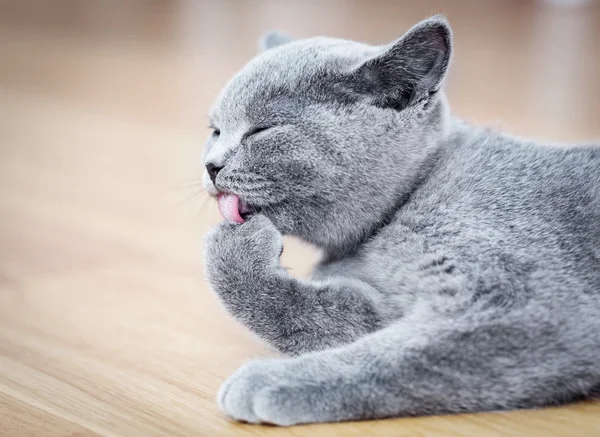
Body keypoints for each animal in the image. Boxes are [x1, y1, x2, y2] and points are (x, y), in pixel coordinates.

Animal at [203, 15, 600, 424]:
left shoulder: (528, 304)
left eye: (263, 130)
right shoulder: (382, 307)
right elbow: (315, 318)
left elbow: (399, 355)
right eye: (215, 131)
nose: (211, 166)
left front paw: (271, 380)